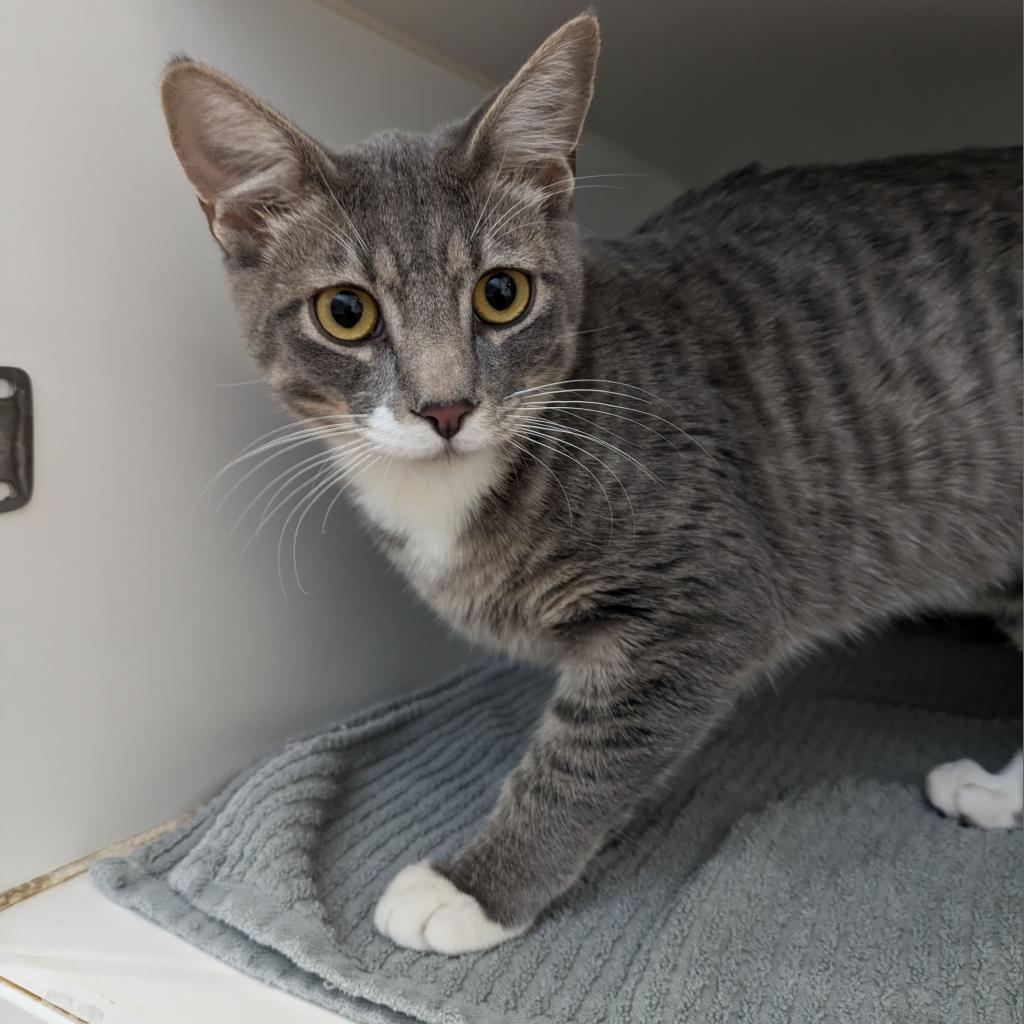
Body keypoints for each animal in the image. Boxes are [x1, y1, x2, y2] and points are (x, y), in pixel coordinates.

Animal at [159, 12, 1024, 954]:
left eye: (502, 293)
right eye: (344, 312)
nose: (446, 406)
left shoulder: (710, 597)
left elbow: (587, 755)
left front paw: (477, 887)